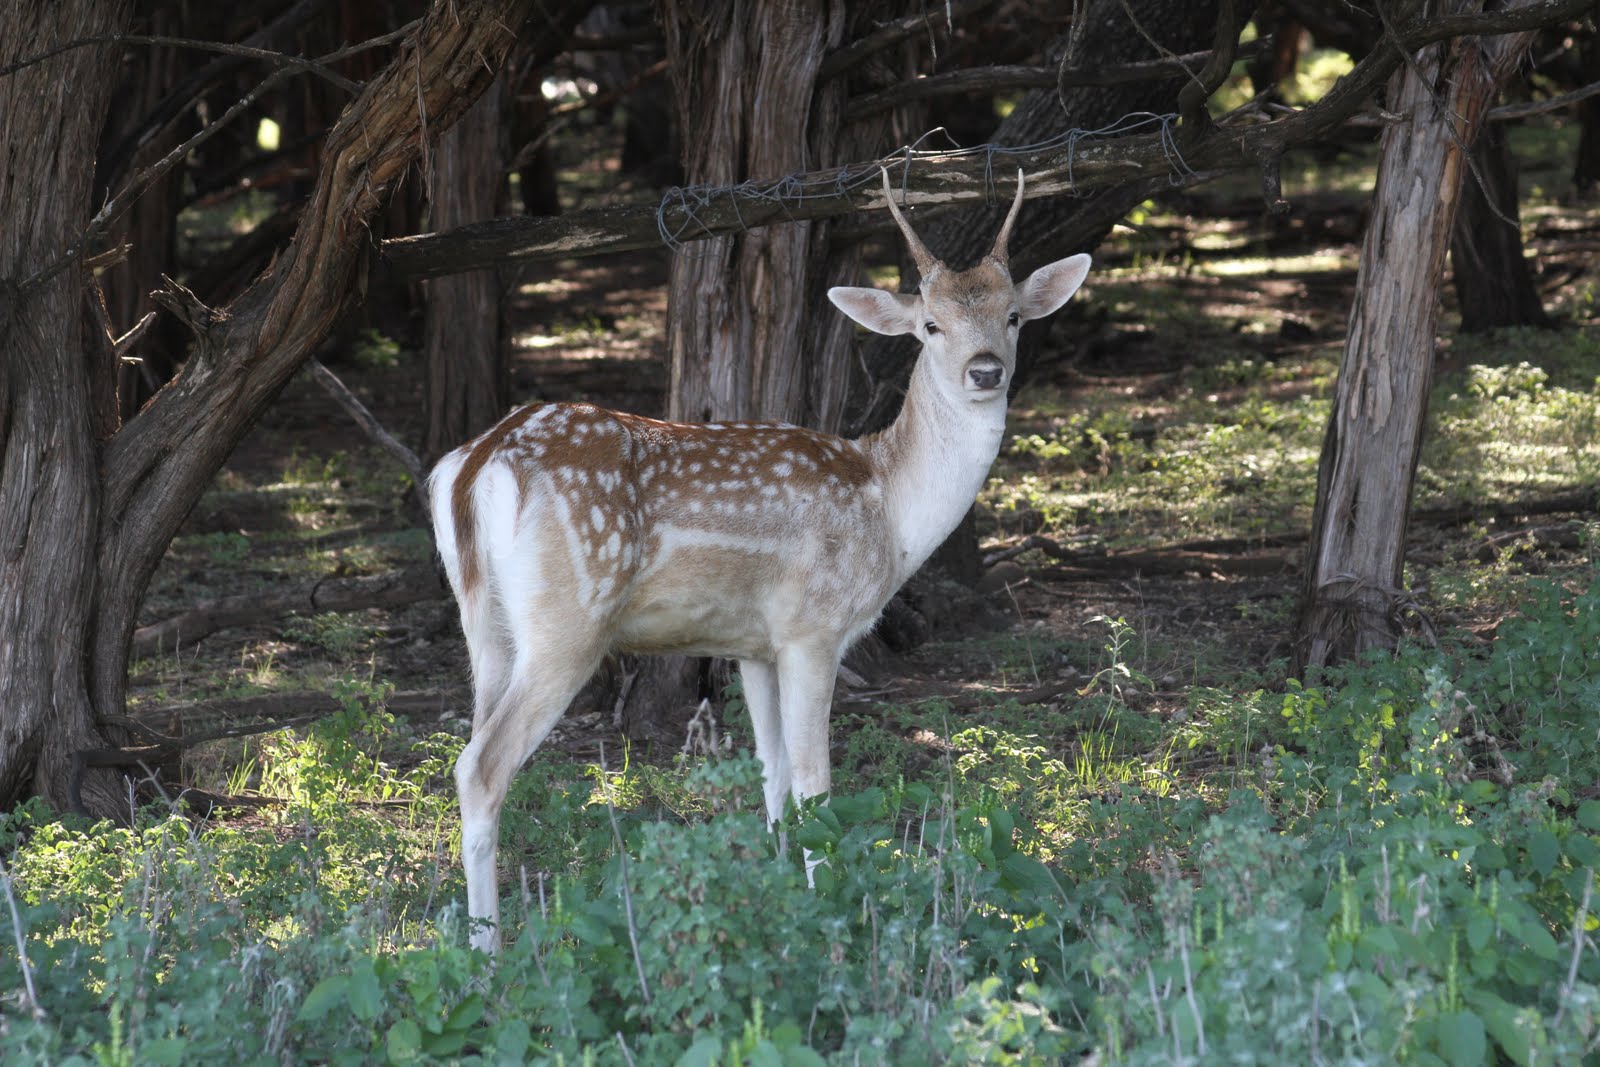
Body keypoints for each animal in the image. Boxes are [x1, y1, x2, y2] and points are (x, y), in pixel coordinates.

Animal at [432, 168, 1094, 953]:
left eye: (1014, 316)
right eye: (930, 325)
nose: (985, 371)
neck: (889, 508)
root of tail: (476, 466)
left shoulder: (753, 642)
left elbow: (772, 776)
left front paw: (781, 906)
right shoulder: (813, 626)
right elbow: (814, 781)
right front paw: (829, 919)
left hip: (486, 625)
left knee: (471, 740)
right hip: (569, 619)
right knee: (480, 766)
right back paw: (488, 951)